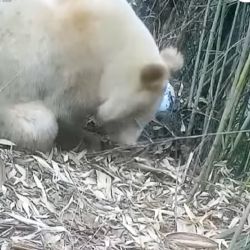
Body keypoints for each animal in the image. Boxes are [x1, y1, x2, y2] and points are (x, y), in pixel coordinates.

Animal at [0, 0, 184, 152]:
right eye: (135, 118)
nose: (128, 143)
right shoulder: (79, 63)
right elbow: (65, 110)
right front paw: (85, 140)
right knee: (38, 125)